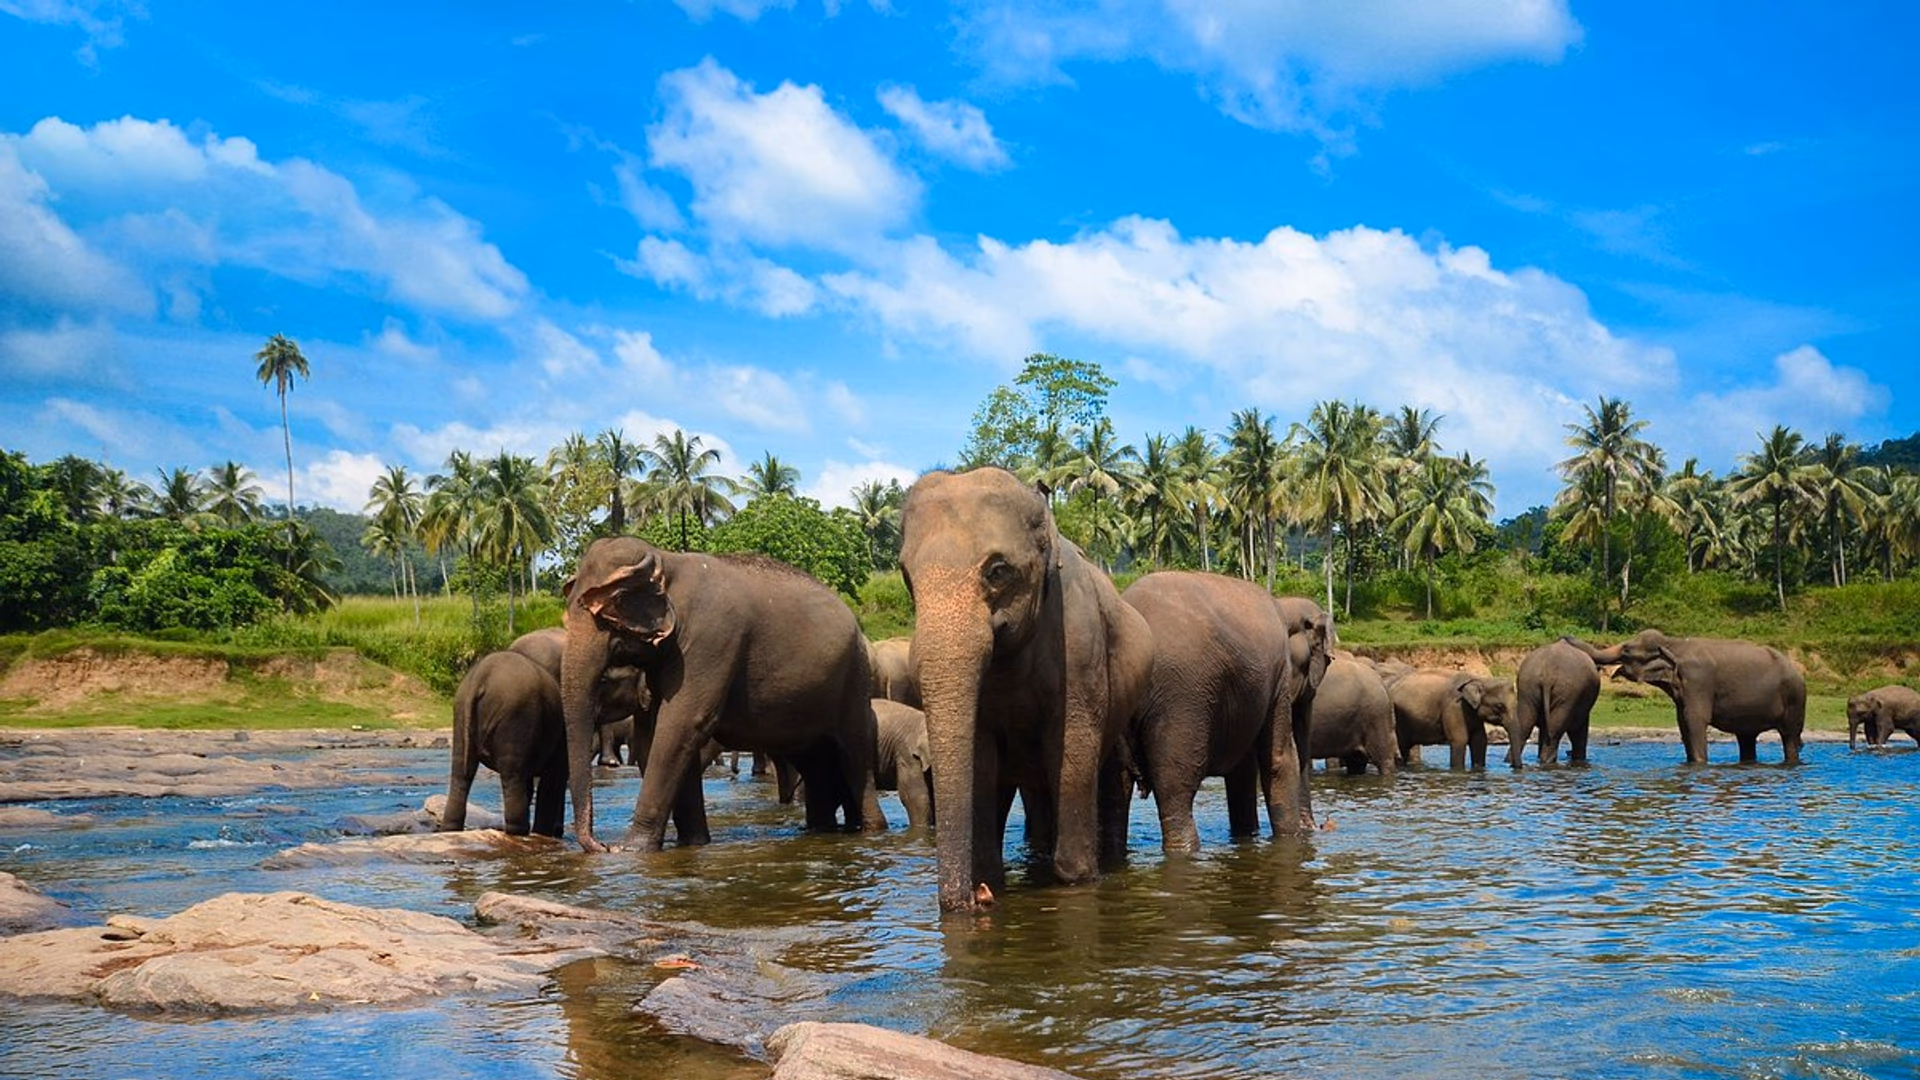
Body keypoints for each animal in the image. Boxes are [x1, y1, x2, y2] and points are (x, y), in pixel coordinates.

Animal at [440, 650, 566, 837]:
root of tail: (481, 676)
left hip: (461, 713)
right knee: (513, 776)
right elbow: (552, 780)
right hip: (516, 718)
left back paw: (450, 829)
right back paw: (519, 831)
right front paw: (542, 833)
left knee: (461, 773)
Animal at [559, 536, 884, 853]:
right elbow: (660, 734)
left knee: (854, 756)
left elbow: (681, 724)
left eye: (611, 609)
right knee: (815, 763)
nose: (601, 845)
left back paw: (871, 830)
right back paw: (820, 830)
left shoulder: (711, 639)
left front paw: (631, 849)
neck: (667, 561)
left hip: (855, 680)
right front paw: (693, 843)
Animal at [899, 467, 1154, 913]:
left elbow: (1072, 749)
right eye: (905, 576)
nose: (977, 898)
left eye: (998, 571)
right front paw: (991, 880)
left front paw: (1077, 880)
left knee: (1108, 777)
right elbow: (981, 761)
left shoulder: (1080, 645)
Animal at [1124, 571, 1325, 854]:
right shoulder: (1277, 676)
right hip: (1182, 701)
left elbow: (1243, 770)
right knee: (1176, 790)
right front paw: (1289, 840)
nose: (1316, 828)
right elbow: (1280, 758)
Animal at [1564, 631, 1806, 765]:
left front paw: (1699, 764)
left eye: (1626, 652)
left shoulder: (1698, 681)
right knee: (1746, 738)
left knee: (1790, 738)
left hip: (1795, 700)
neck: (1674, 643)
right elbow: (1682, 722)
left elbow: (1695, 719)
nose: (1564, 636)